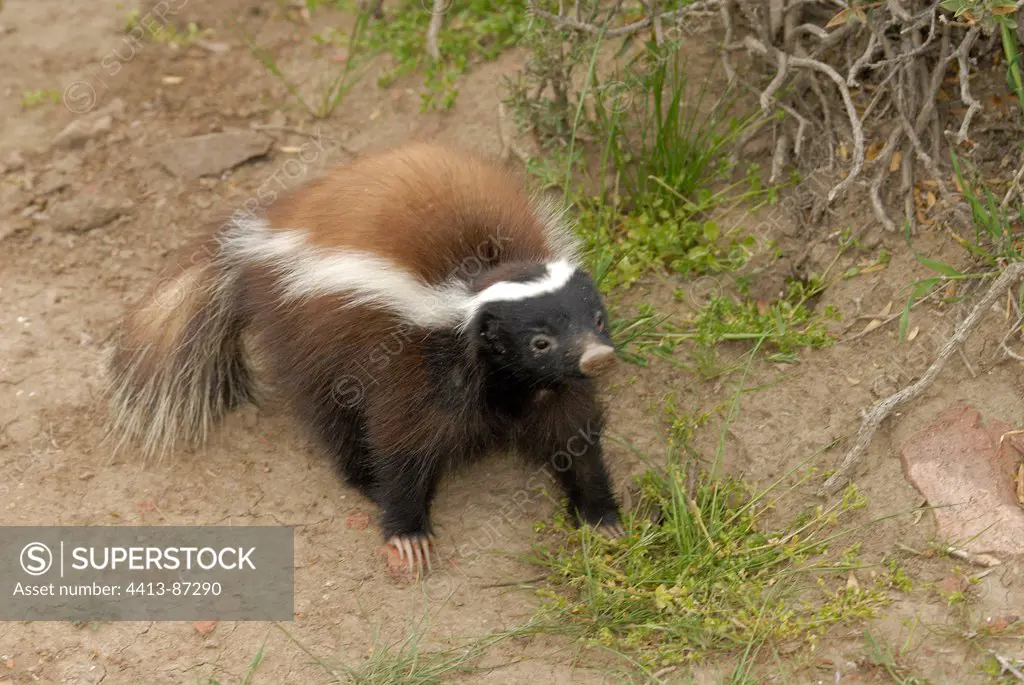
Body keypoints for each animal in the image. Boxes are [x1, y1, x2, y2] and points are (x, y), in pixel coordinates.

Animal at [108, 143, 626, 573]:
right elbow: (401, 441)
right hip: (308, 334)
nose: (598, 357)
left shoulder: (552, 385)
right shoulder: (413, 358)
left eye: (598, 318)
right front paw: (407, 533)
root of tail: (257, 239)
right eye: (540, 341)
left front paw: (602, 517)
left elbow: (574, 435)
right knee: (329, 410)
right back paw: (363, 476)